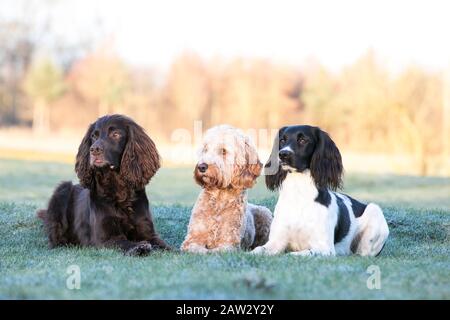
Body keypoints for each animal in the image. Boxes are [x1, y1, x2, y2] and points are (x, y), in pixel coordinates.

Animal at [251, 125, 388, 258]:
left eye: (303, 140)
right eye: (282, 140)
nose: (283, 154)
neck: (299, 193)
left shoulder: (325, 248)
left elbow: (302, 253)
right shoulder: (276, 242)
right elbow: (258, 249)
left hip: (374, 212)